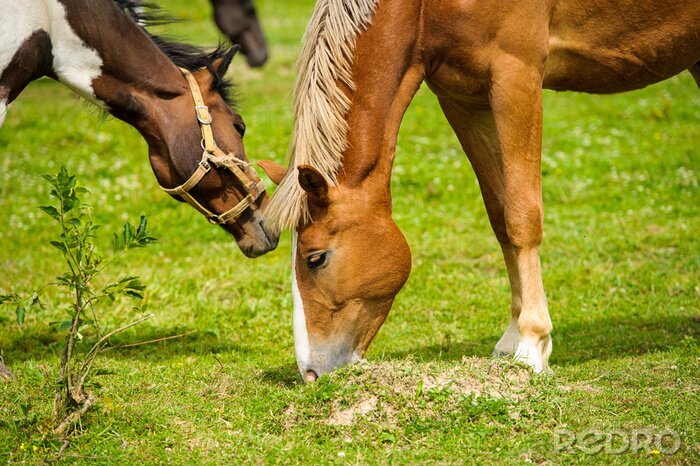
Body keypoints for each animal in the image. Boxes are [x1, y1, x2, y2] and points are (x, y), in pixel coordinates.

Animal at [259, 0, 700, 380]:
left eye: (315, 258)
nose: (309, 373)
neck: (423, 8)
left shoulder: (516, 76)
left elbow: (522, 217)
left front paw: (532, 343)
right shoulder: (462, 97)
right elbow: (500, 216)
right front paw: (511, 338)